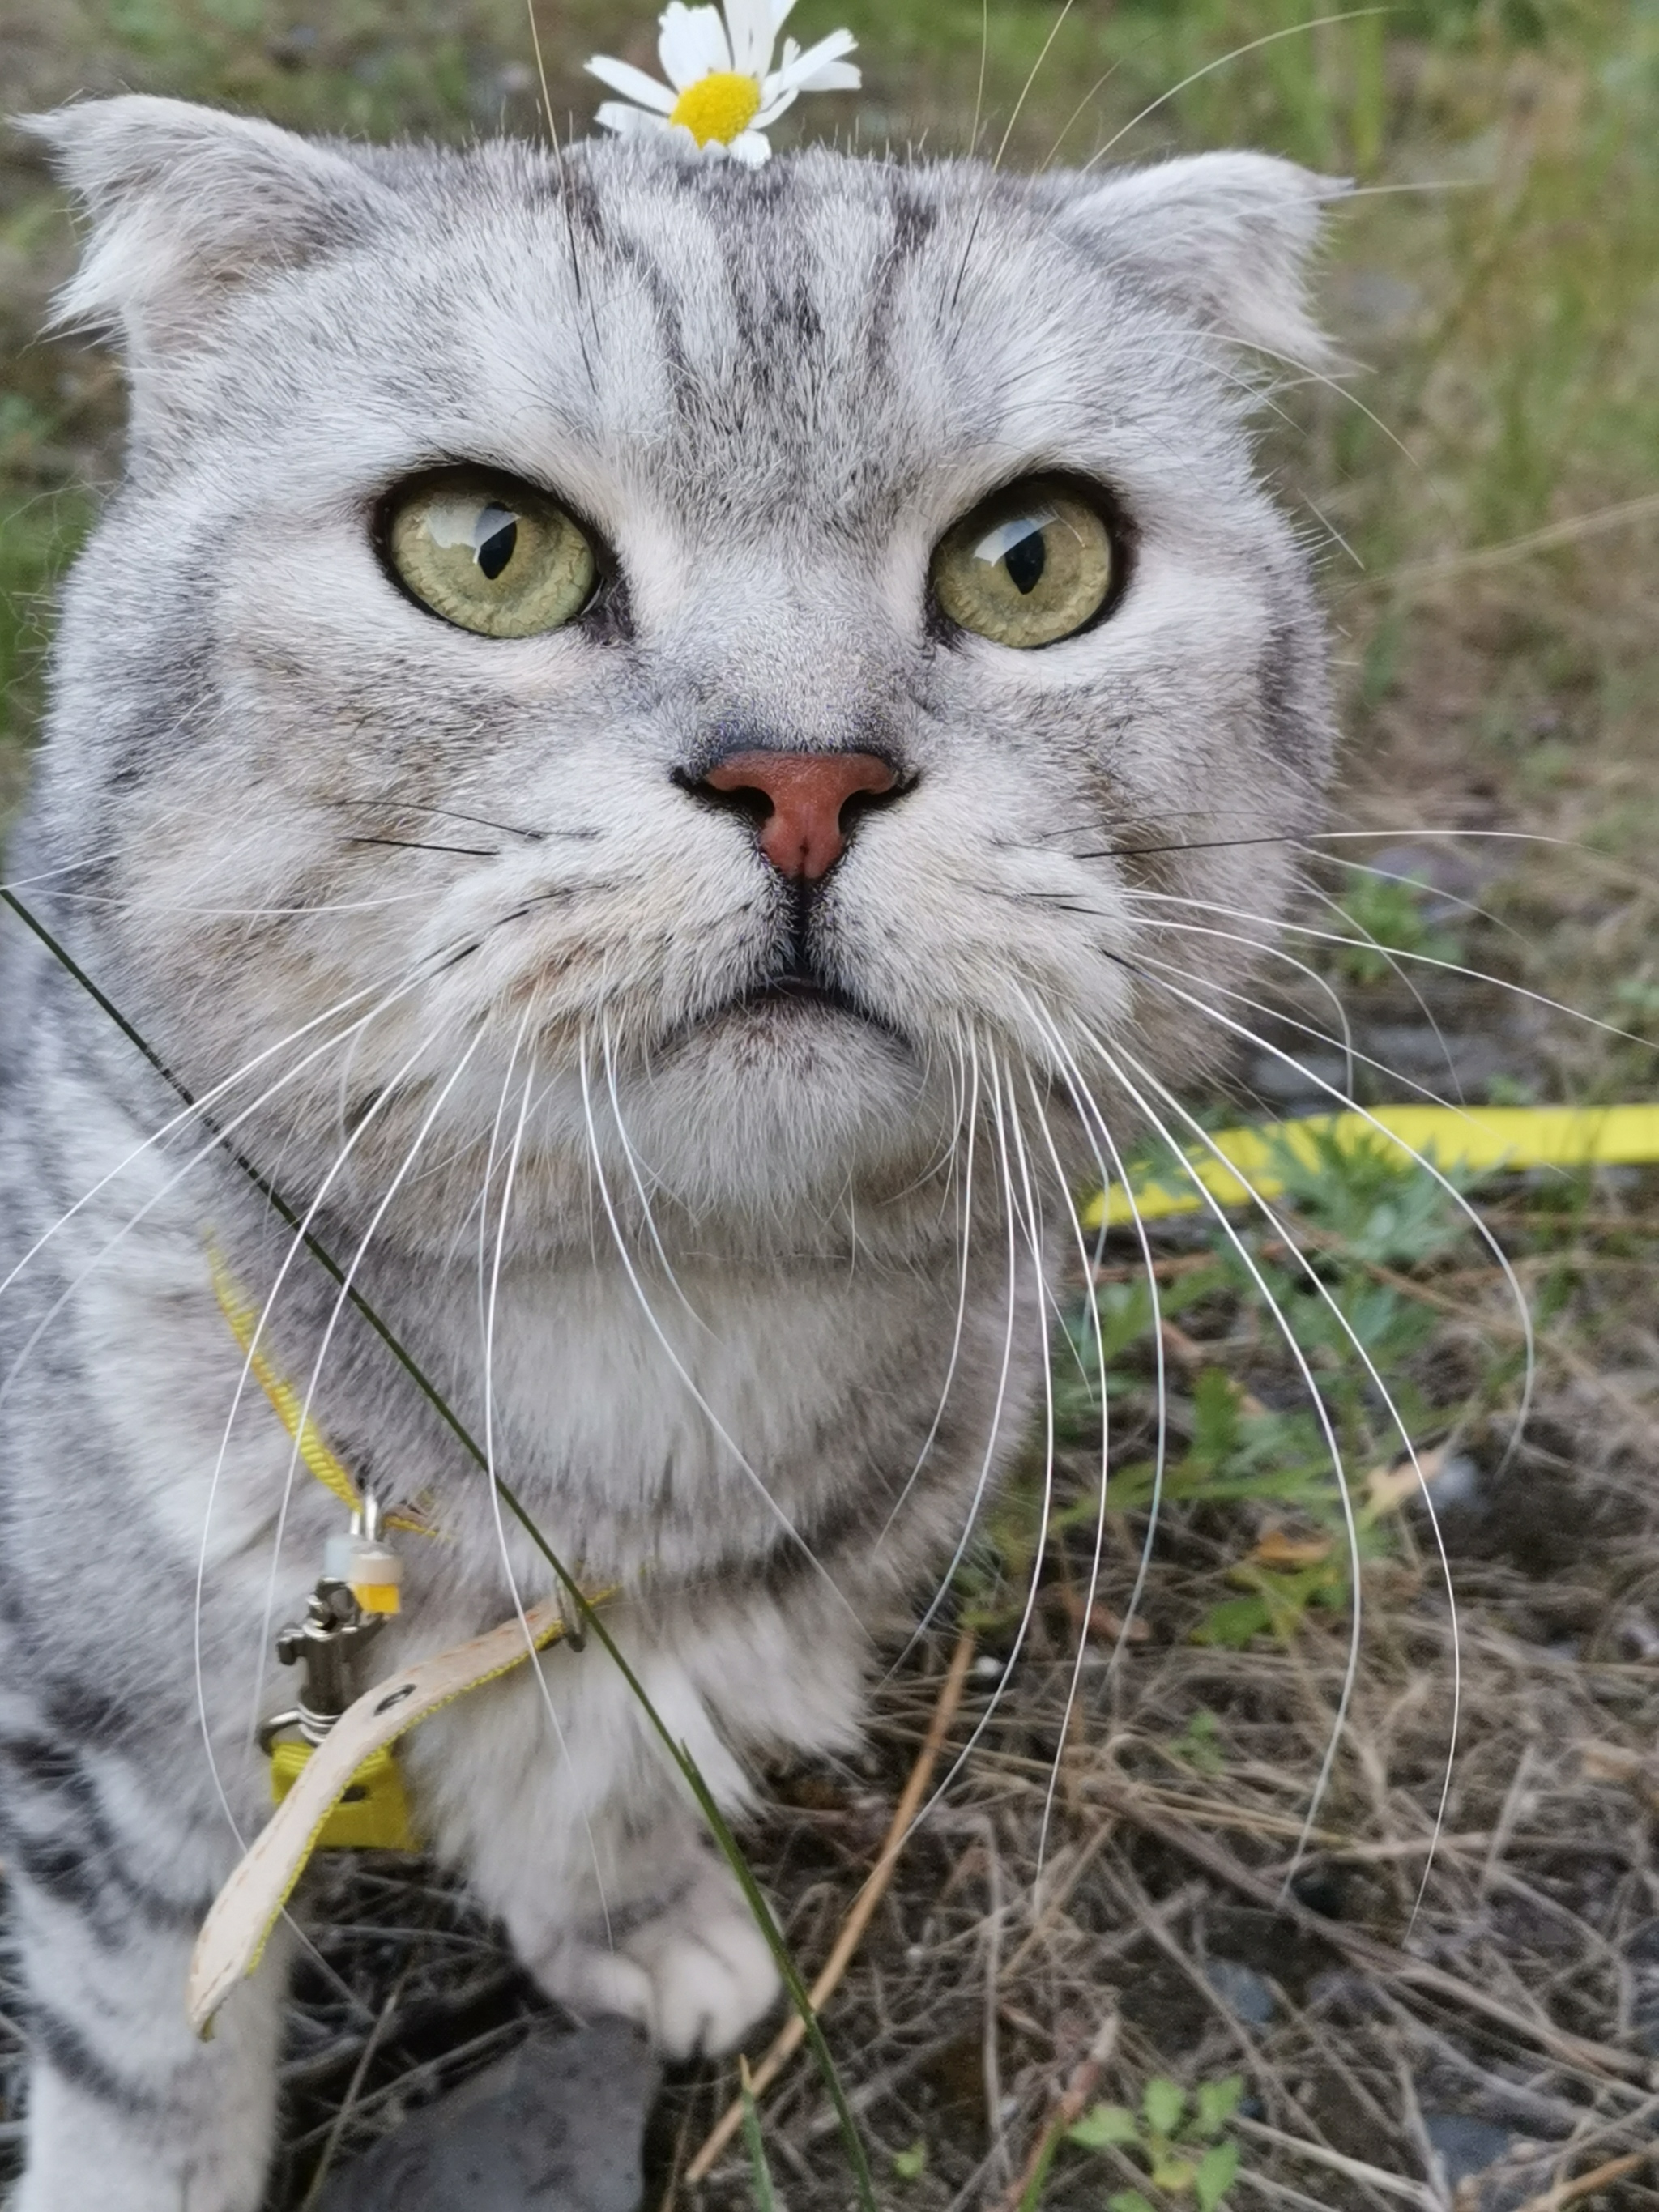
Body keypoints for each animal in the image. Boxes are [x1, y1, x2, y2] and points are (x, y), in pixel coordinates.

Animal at [0, 99, 1336, 2212]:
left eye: (1037, 560)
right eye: (486, 548)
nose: (803, 776)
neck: (657, 1343)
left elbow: (613, 1772)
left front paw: (635, 1921)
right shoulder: (118, 1745)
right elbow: (149, 2067)